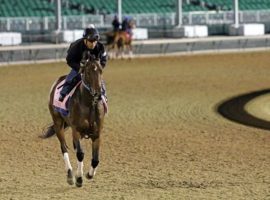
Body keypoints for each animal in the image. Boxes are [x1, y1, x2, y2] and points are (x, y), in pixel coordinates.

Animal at [48, 51, 105, 188]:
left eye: (101, 70)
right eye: (88, 72)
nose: (98, 94)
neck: (89, 104)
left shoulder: (97, 134)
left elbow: (95, 159)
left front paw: (89, 174)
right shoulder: (76, 131)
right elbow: (80, 154)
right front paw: (79, 178)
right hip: (58, 124)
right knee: (64, 147)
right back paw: (70, 175)